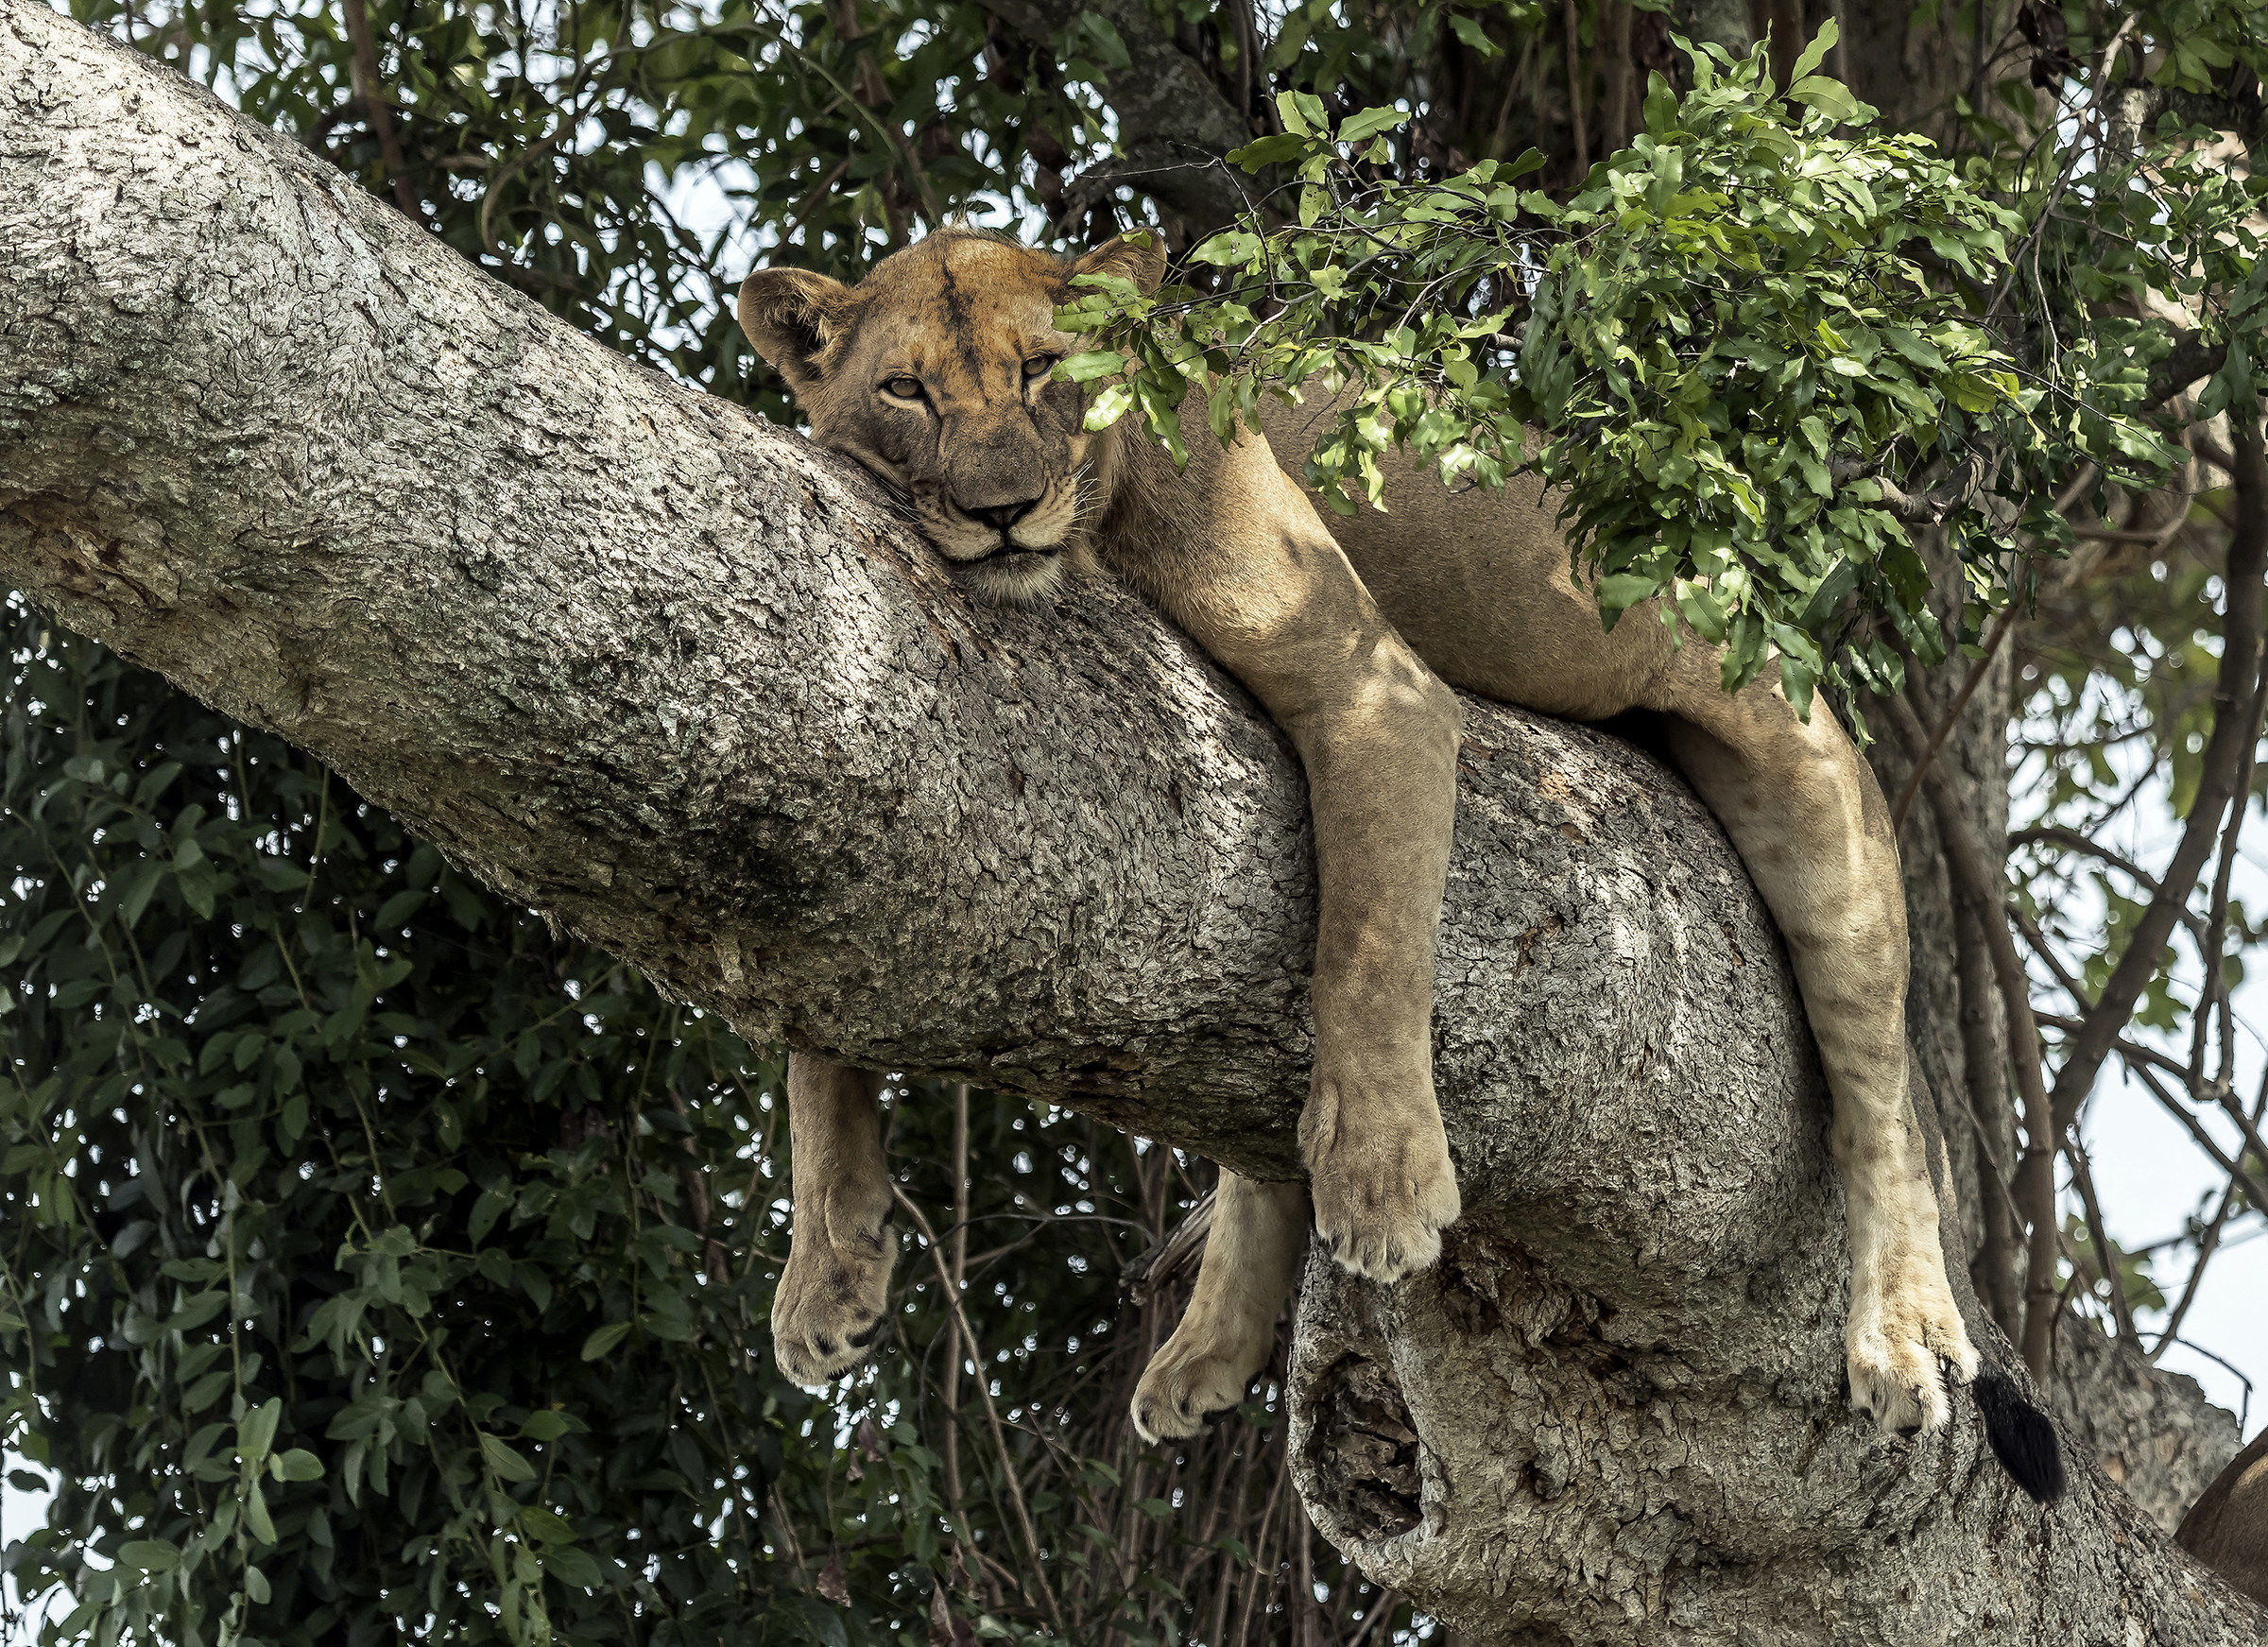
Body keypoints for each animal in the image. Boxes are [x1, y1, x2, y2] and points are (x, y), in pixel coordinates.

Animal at [734, 226, 2063, 1501]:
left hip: (1810, 786)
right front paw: (829, 1270)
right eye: (905, 390)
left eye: (1044, 370)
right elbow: (812, 1018)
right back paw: (1207, 1351)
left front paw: (1381, 1181)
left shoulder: (1380, 693)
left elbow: (1365, 952)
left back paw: (1902, 1336)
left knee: (1885, 1107)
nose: (1003, 510)